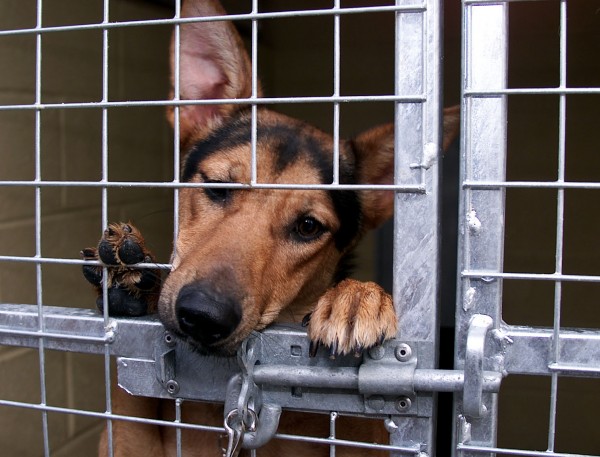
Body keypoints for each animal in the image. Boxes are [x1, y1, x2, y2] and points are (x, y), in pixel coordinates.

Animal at [82, 1, 460, 454]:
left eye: (308, 226)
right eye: (218, 186)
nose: (203, 317)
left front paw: (356, 297)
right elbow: (129, 404)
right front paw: (134, 278)